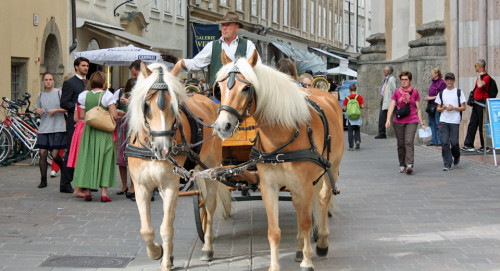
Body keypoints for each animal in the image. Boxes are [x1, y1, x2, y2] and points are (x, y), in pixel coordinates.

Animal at [127, 62, 232, 271]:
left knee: (209, 206)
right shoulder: (141, 187)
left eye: (175, 106)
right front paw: (157, 252)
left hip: (211, 166)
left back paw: (207, 248)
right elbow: (146, 230)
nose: (163, 149)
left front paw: (166, 262)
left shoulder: (170, 185)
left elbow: (166, 227)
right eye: (146, 105)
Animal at [211, 51, 344, 271]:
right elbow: (274, 231)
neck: (283, 135)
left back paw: (322, 242)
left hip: (331, 168)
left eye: (246, 88)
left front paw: (307, 260)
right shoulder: (269, 186)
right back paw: (299, 249)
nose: (222, 126)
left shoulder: (304, 184)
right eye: (219, 88)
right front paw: (276, 265)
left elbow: (306, 222)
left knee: (323, 199)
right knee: (300, 206)